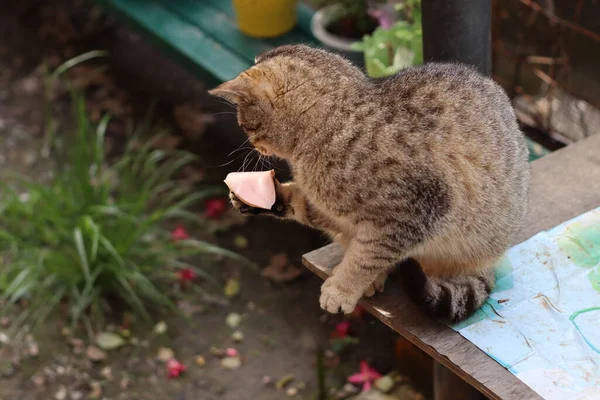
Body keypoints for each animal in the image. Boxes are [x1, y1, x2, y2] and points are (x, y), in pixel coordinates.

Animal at [210, 45, 528, 324]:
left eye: (244, 125)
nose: (251, 144)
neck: (332, 125)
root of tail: (491, 259)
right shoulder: (332, 210)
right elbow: (307, 209)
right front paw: (263, 197)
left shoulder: (416, 211)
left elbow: (366, 257)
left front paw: (342, 289)